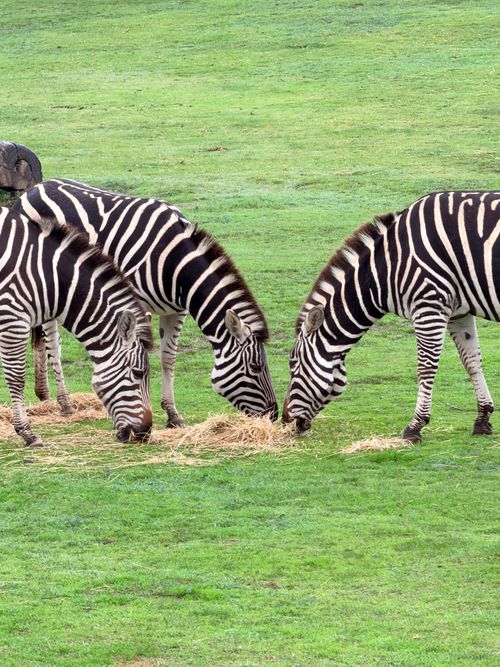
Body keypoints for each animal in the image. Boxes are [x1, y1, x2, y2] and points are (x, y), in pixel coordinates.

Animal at [0, 207, 153, 447]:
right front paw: (26, 433)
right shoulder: (12, 319)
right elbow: (16, 378)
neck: (48, 276)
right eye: (138, 373)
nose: (145, 433)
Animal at [14, 179, 278, 424]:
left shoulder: (175, 311)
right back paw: (64, 403)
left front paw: (173, 414)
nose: (273, 415)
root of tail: (33, 189)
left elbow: (168, 358)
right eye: (256, 367)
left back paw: (45, 395)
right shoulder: (136, 304)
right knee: (52, 343)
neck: (174, 264)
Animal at [283, 191, 500, 442]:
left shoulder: (428, 305)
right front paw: (482, 419)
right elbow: (471, 361)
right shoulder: (458, 311)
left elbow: (426, 367)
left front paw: (415, 426)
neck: (387, 267)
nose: (285, 421)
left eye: (293, 365)